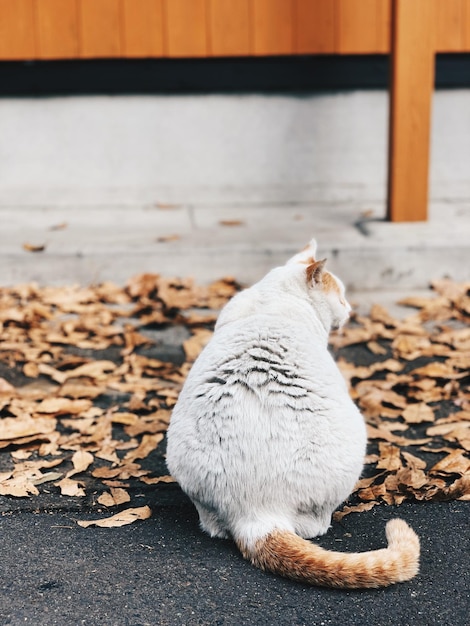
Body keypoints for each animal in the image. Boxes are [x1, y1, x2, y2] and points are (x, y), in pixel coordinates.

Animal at [165, 239, 418, 584]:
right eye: (341, 296)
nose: (350, 310)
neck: (272, 299)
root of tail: (258, 515)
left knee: (213, 525)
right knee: (315, 526)